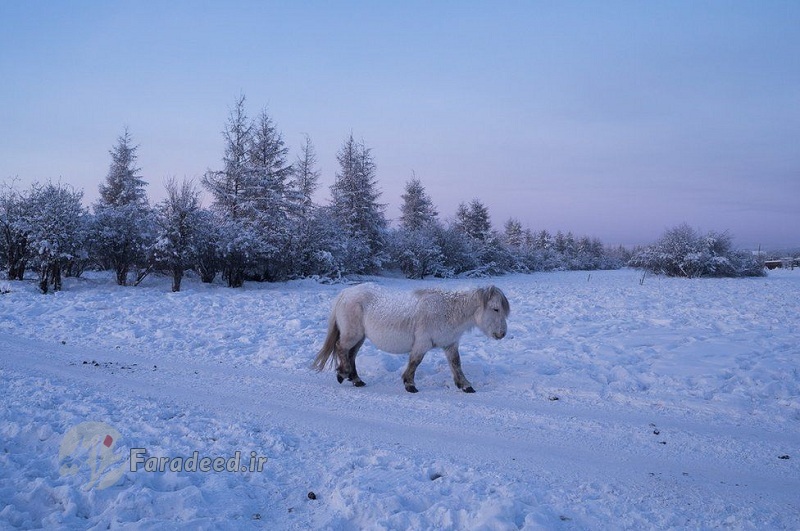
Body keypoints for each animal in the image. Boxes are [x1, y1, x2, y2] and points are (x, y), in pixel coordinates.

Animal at [314, 284, 512, 392]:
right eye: (496, 309)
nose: (502, 334)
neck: (447, 311)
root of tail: (345, 293)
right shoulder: (422, 343)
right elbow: (415, 362)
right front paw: (409, 384)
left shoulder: (450, 344)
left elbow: (456, 364)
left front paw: (465, 386)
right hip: (352, 334)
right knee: (341, 348)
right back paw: (343, 374)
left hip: (360, 337)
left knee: (351, 355)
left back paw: (356, 379)